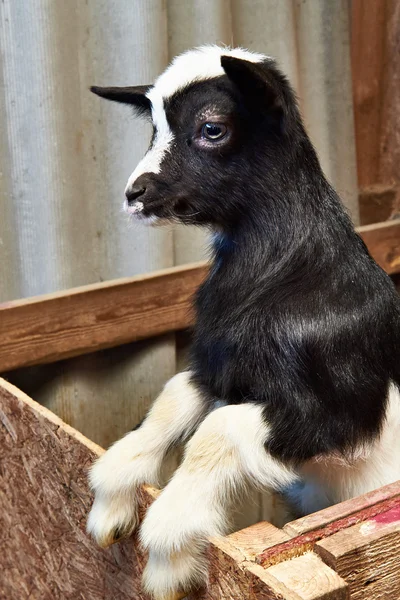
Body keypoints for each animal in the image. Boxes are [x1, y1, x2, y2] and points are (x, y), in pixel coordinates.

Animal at [86, 48, 400, 600]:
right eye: (153, 127)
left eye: (212, 128)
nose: (134, 194)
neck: (288, 273)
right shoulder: (221, 364)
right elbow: (173, 399)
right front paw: (113, 493)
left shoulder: (346, 411)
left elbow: (218, 429)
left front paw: (169, 544)